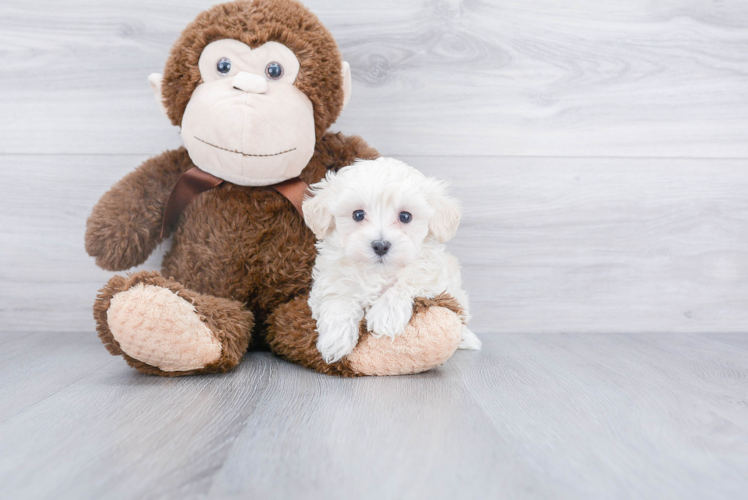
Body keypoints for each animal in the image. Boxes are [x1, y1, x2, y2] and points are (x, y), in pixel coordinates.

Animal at [302, 156, 482, 364]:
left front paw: (386, 315)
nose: (380, 245)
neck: (378, 273)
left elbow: (407, 283)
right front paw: (335, 339)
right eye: (358, 214)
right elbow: (338, 300)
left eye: (405, 216)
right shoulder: (330, 281)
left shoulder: (434, 279)